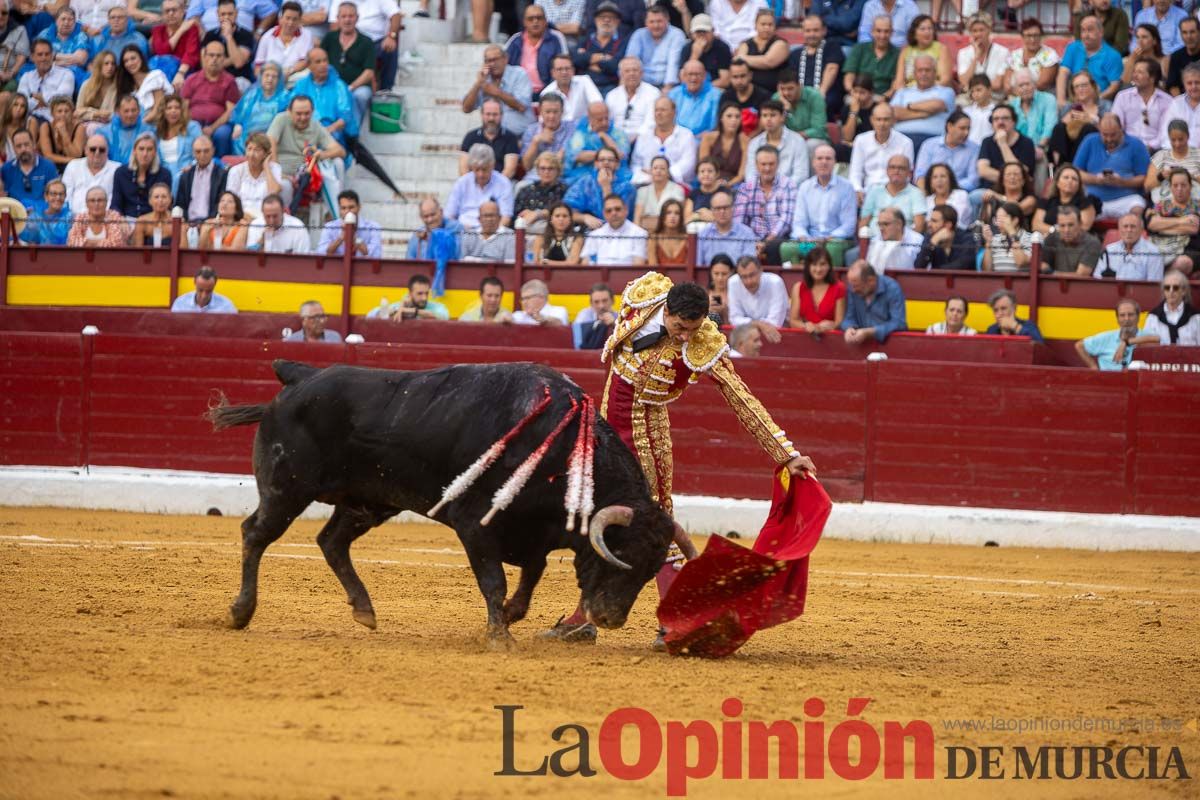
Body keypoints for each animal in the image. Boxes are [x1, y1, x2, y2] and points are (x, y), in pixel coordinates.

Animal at [206, 359, 676, 642]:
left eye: (651, 570)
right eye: (621, 555)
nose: (611, 618)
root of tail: (299, 376)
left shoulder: (534, 536)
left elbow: (530, 579)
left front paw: (509, 617)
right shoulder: (473, 524)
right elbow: (494, 580)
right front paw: (499, 636)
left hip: (369, 500)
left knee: (331, 541)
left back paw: (365, 610)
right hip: (287, 489)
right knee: (256, 534)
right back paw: (240, 612)